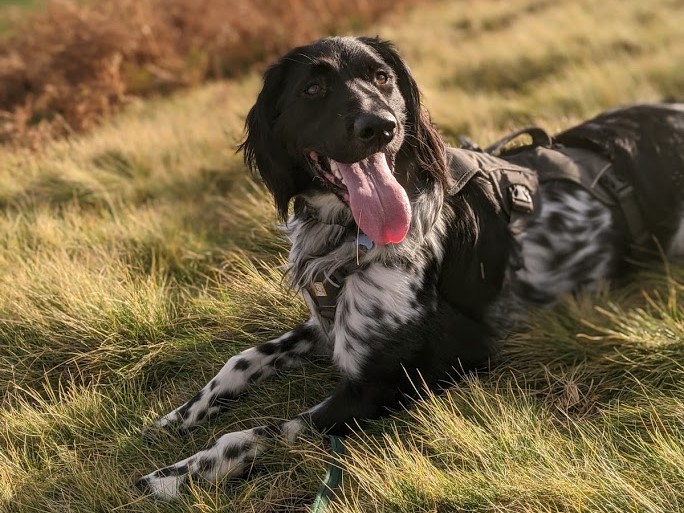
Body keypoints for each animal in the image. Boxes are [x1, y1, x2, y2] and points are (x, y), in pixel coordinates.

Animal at [135, 35, 684, 496]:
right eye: (312, 88)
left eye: (382, 77)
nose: (380, 126)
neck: (348, 237)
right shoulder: (329, 326)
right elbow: (242, 359)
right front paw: (178, 417)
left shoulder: (399, 377)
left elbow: (256, 432)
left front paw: (178, 473)